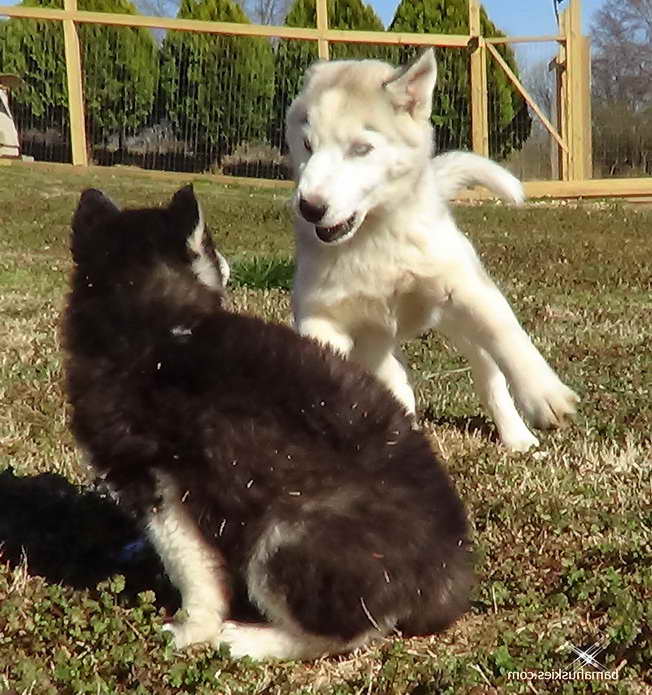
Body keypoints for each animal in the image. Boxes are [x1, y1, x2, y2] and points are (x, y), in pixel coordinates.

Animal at [63, 186, 472, 664]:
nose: (227, 262)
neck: (156, 322)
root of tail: (446, 568)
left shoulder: (160, 486)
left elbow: (193, 569)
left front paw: (191, 630)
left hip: (282, 536)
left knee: (351, 631)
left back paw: (250, 640)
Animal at [288, 49, 580, 452]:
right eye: (307, 145)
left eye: (361, 149)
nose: (310, 207)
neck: (375, 238)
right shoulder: (320, 316)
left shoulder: (466, 286)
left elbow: (508, 333)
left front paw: (544, 395)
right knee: (391, 376)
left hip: (462, 325)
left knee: (490, 379)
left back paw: (517, 436)